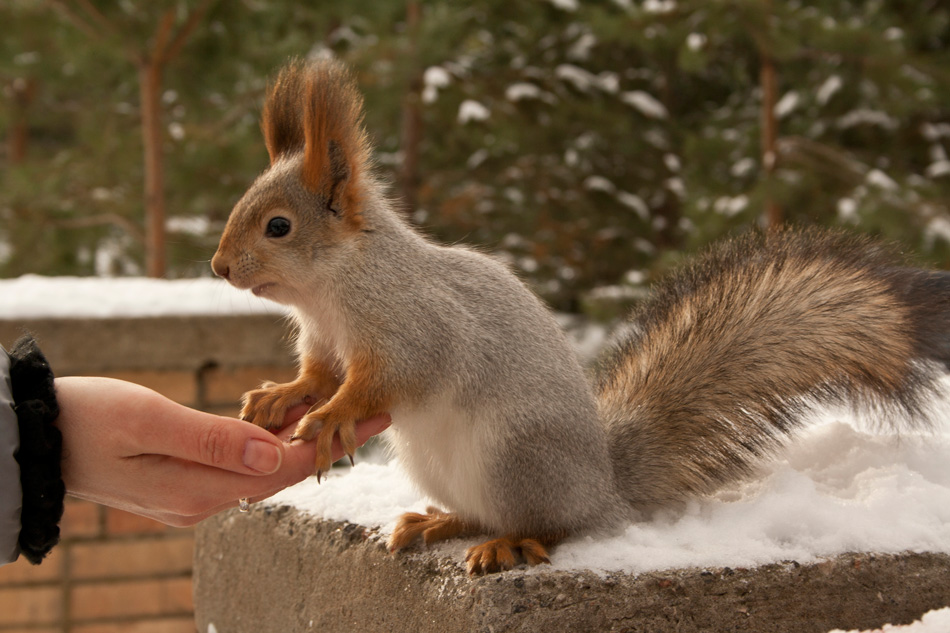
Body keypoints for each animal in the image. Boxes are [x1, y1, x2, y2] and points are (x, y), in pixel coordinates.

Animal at [212, 59, 950, 572]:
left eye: (277, 226)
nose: (219, 267)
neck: (331, 289)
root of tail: (605, 490)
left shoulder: (413, 325)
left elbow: (386, 379)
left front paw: (332, 417)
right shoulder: (322, 339)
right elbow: (317, 374)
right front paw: (278, 395)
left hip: (516, 455)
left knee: (552, 525)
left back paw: (512, 543)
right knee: (480, 514)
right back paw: (440, 523)